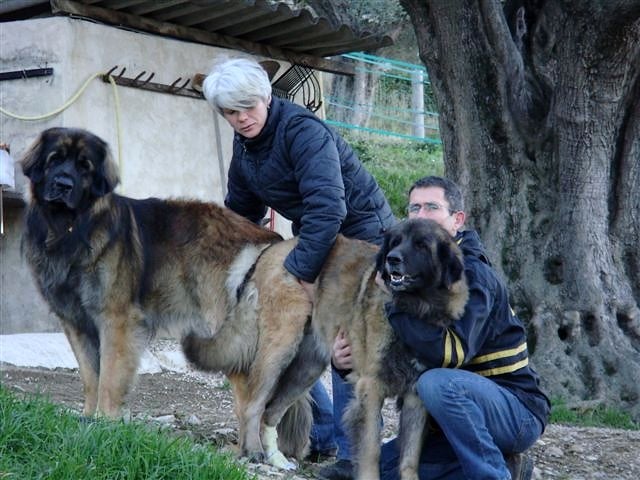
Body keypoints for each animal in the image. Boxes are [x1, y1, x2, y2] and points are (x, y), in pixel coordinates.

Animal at [21, 128, 469, 479]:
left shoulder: (117, 322)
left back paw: (261, 454)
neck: (73, 229)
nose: (62, 184)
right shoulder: (78, 322)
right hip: (286, 351)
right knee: (258, 400)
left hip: (287, 354)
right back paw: (256, 454)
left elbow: (109, 378)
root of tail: (273, 245)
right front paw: (93, 421)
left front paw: (104, 422)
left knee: (258, 401)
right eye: (56, 160)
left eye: (84, 166)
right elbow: (94, 377)